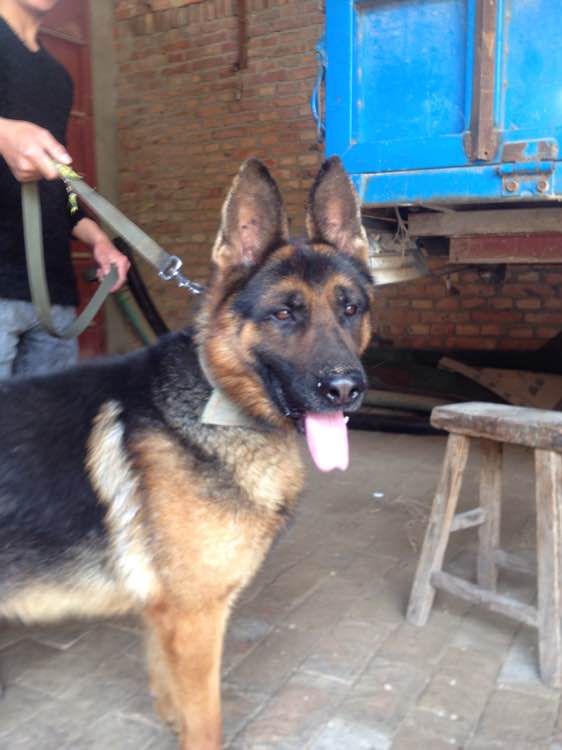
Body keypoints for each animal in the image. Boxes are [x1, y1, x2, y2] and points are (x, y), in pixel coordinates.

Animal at [0, 157, 374, 749]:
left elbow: (171, 697)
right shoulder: (197, 618)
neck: (217, 400)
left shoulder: (164, 617)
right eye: (284, 314)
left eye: (351, 309)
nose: (345, 390)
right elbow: (206, 722)